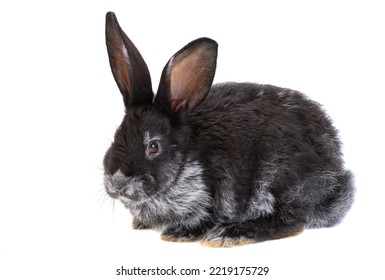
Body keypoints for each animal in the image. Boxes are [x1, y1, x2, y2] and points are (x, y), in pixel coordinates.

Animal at [103, 12, 354, 247]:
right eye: (116, 137)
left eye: (153, 146)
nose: (117, 182)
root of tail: (337, 173)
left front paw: (180, 233)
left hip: (280, 179)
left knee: (292, 221)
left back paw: (230, 234)